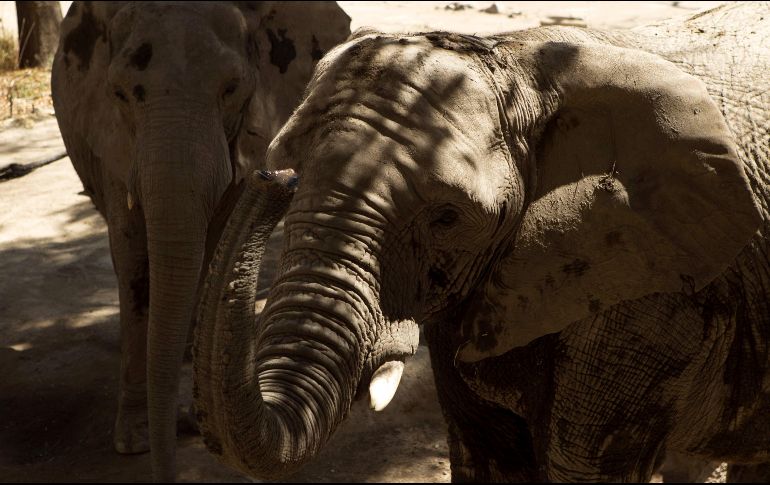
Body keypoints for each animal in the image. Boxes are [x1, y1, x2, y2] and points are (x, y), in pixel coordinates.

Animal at [50, 1, 350, 481]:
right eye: (120, 93)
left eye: (231, 88)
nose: (279, 178)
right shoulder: (112, 142)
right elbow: (132, 256)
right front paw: (135, 441)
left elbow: (210, 240)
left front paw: (186, 418)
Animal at [192, 2, 770, 483]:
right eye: (293, 172)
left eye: (446, 218)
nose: (272, 177)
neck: (520, 62)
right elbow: (487, 457)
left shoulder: (656, 294)